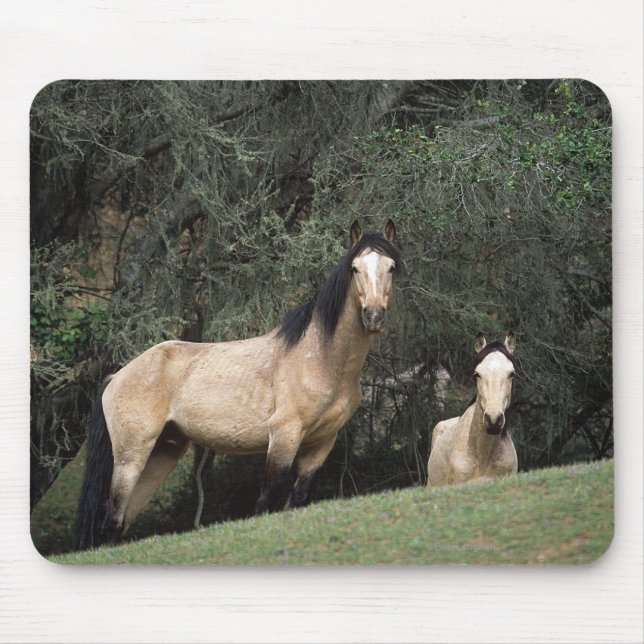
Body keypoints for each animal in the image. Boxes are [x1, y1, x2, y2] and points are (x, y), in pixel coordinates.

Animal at [74, 219, 400, 550]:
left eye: (391, 266)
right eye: (355, 268)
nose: (373, 315)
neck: (321, 358)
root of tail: (117, 376)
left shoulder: (321, 444)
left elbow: (295, 500)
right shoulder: (284, 436)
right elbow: (266, 502)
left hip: (160, 454)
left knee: (122, 520)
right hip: (131, 456)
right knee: (112, 517)